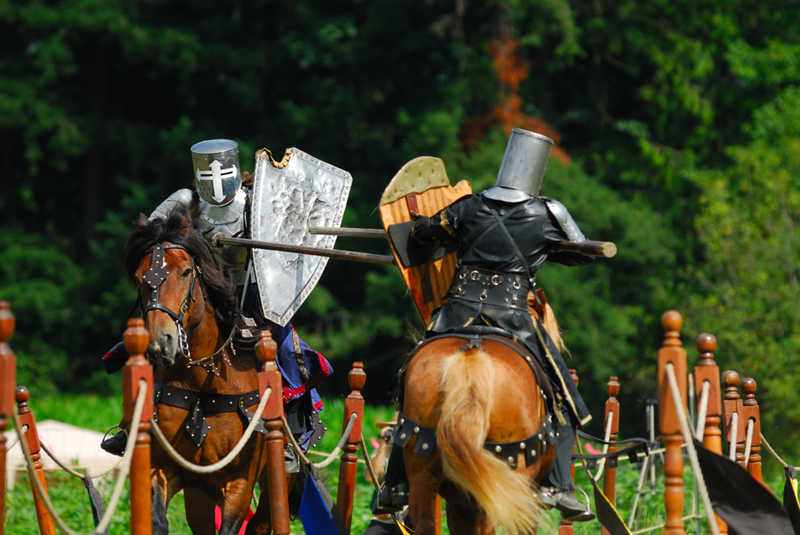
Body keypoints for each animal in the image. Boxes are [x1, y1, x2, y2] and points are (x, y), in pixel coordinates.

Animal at [125, 209, 296, 535]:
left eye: (185, 272)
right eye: (140, 279)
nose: (160, 344)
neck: (203, 382)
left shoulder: (239, 485)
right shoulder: (164, 469)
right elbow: (157, 520)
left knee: (261, 523)